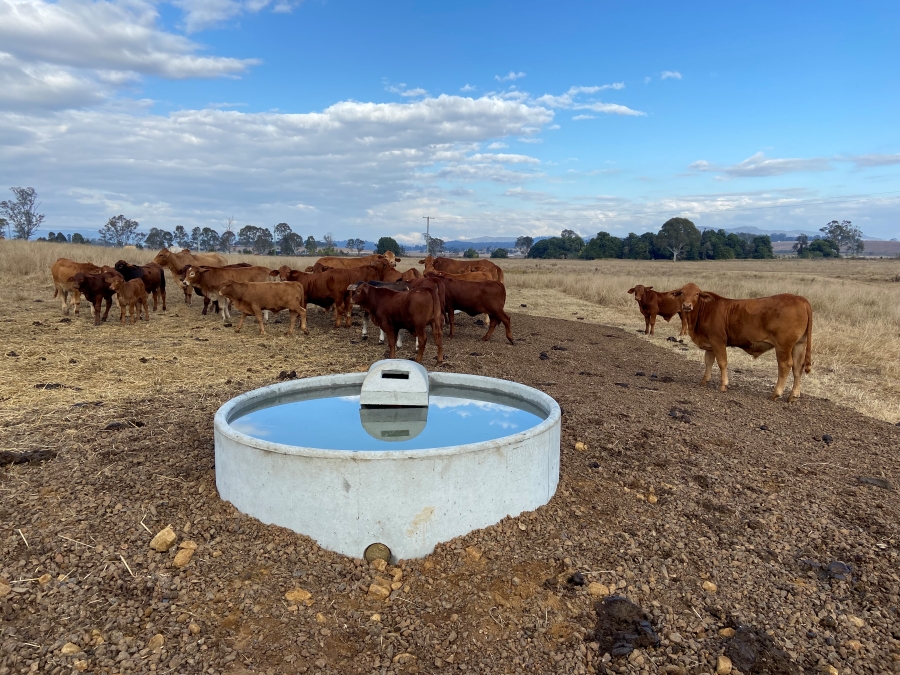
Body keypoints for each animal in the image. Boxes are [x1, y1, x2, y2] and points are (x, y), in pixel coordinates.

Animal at [672, 285, 813, 402]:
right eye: (682, 293)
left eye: (696, 294)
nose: (687, 306)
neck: (705, 309)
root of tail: (800, 299)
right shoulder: (710, 344)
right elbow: (708, 362)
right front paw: (704, 380)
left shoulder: (718, 341)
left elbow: (722, 362)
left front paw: (723, 385)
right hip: (799, 345)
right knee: (797, 367)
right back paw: (793, 395)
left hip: (783, 346)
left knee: (785, 365)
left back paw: (776, 393)